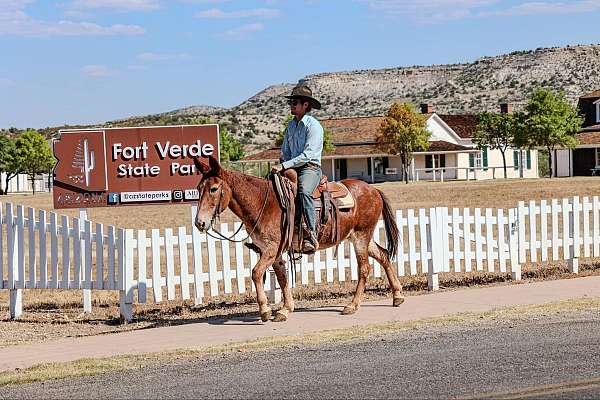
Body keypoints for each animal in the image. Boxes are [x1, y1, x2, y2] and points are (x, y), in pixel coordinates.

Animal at [195, 156, 406, 322]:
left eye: (214, 189)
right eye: (199, 188)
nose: (199, 223)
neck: (263, 202)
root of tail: (373, 190)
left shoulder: (271, 249)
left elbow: (256, 273)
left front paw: (265, 310)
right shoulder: (274, 252)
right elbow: (282, 278)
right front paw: (285, 309)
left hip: (362, 236)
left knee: (364, 268)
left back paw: (352, 305)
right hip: (359, 237)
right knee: (384, 255)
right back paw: (397, 295)